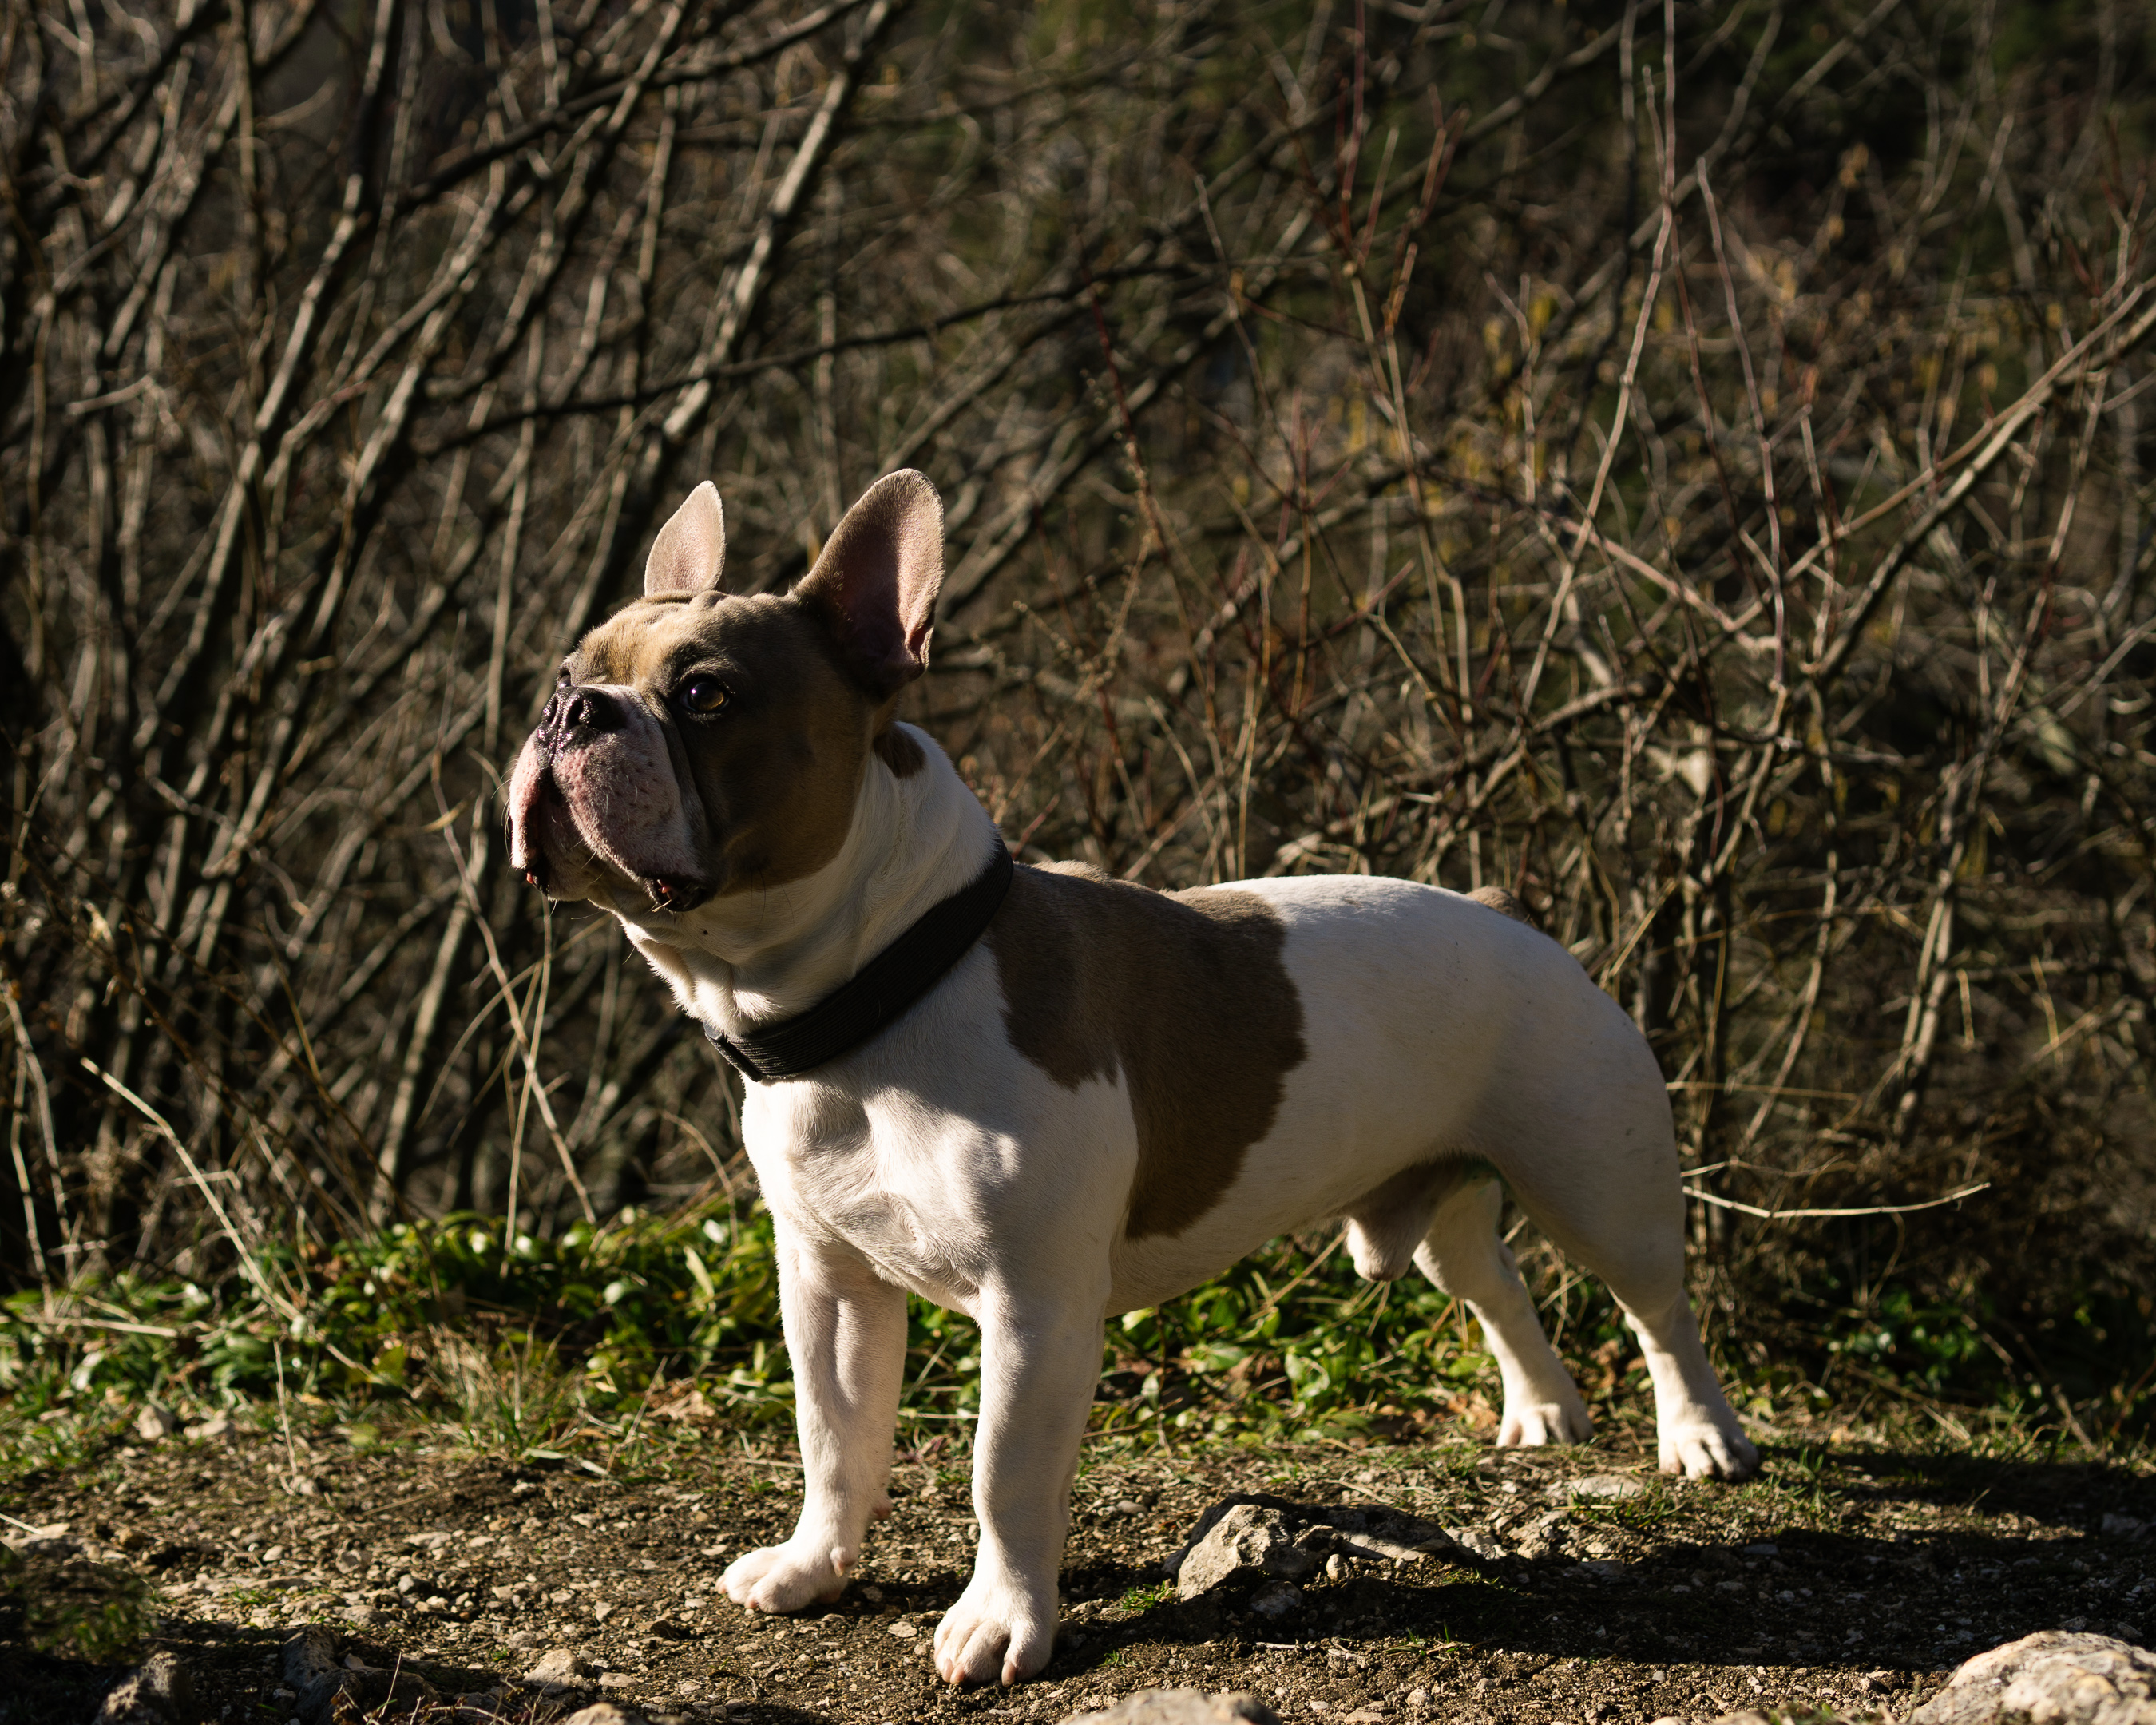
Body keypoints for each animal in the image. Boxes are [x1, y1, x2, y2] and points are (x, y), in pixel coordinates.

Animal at [506, 470, 1758, 1688]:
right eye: (567, 674)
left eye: (705, 695)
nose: (568, 712)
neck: (880, 994)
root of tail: (1512, 916)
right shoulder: (829, 1283)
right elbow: (834, 1436)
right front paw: (815, 1566)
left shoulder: (1035, 1307)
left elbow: (1003, 1470)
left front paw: (999, 1623)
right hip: (1440, 1202)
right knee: (1494, 1285)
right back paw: (1543, 1410)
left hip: (1600, 1179)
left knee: (1659, 1311)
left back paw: (1701, 1438)